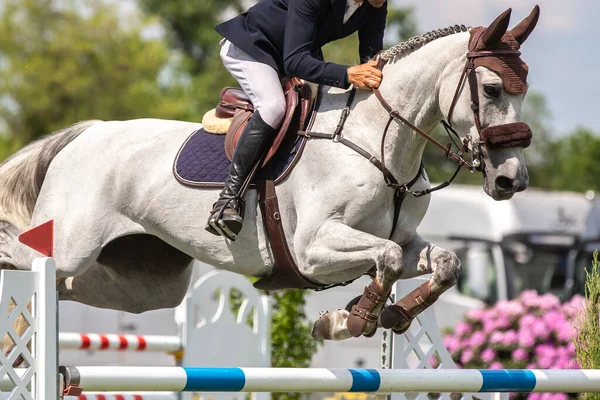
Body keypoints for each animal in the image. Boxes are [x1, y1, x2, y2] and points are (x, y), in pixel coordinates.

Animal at [0, 5, 540, 344]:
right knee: (26, 257)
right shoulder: (313, 248)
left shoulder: (405, 242)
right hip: (70, 241)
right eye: (492, 89)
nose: (511, 181)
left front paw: (384, 315)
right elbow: (383, 257)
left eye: (525, 91)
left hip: (144, 283)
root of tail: (84, 133)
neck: (378, 143)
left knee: (67, 287)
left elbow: (443, 262)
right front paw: (346, 322)